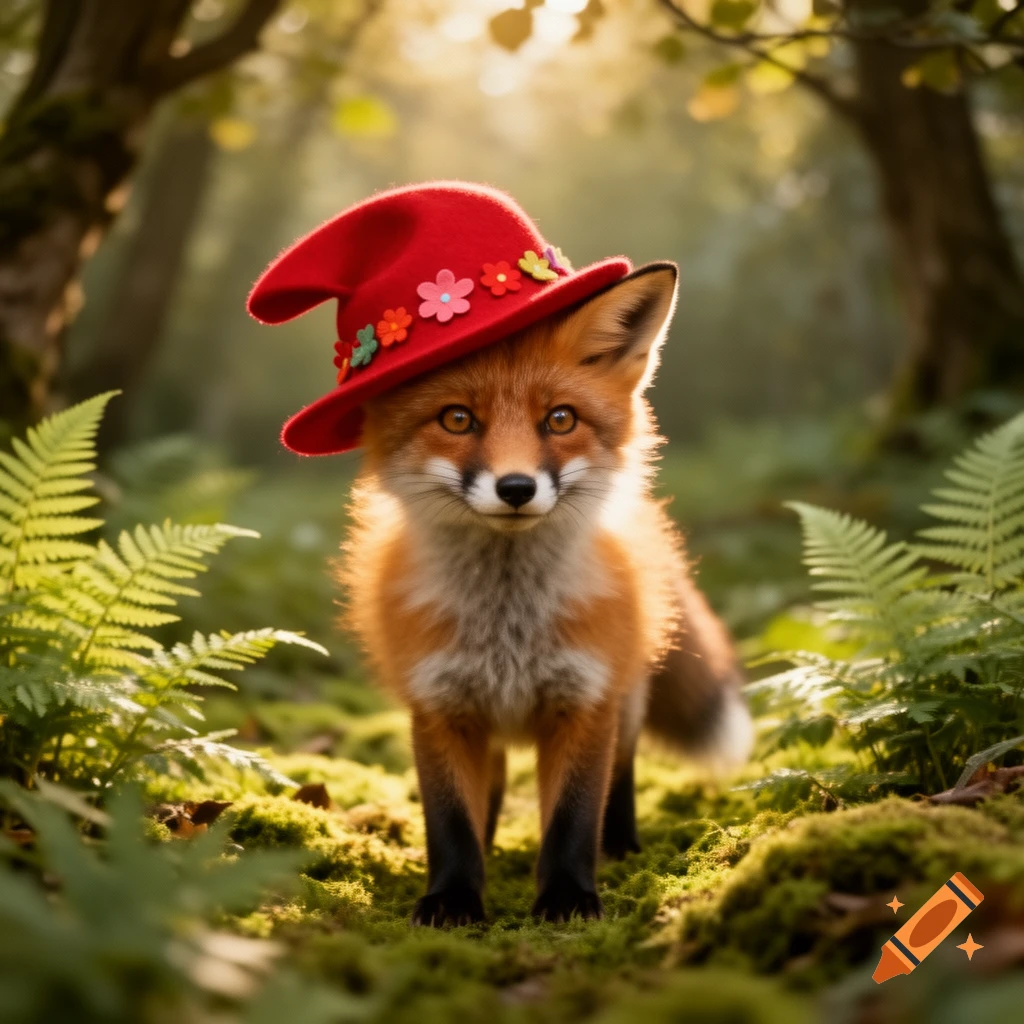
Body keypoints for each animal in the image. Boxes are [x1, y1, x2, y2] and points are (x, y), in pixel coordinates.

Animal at [339, 262, 753, 926]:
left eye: (560, 419)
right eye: (457, 419)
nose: (516, 488)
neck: (509, 629)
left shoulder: (584, 700)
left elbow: (572, 816)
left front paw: (567, 897)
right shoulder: (439, 705)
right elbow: (450, 822)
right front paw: (453, 898)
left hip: (627, 697)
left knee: (622, 771)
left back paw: (620, 845)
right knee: (493, 784)